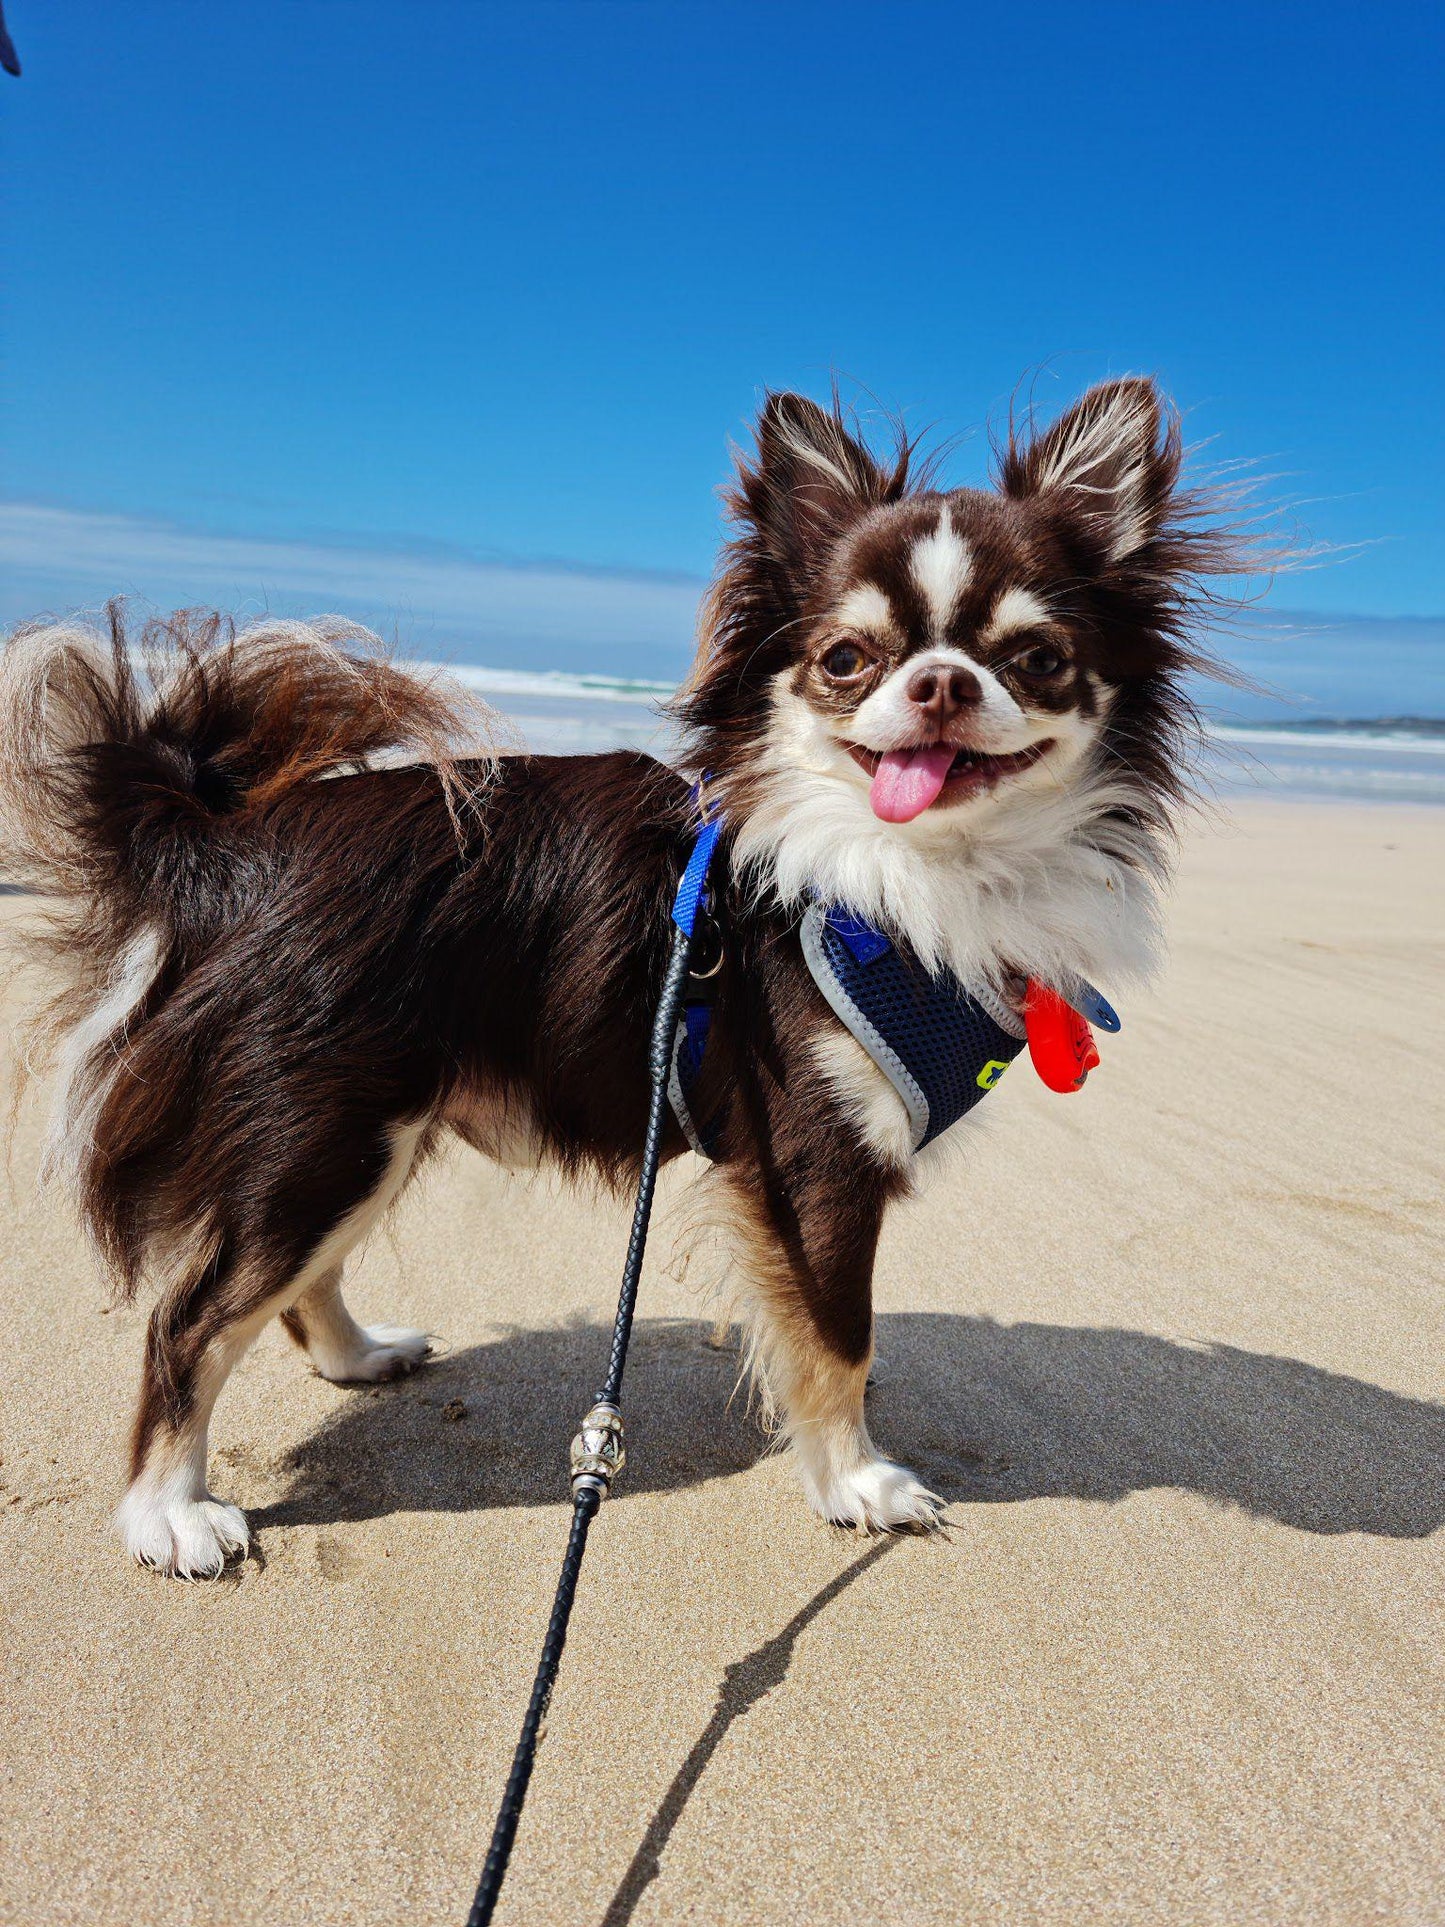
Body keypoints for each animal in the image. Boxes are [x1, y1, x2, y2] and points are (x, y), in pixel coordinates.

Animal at [0, 368, 1248, 1572]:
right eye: (846, 661)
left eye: (1035, 660)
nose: (940, 683)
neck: (906, 875)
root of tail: (232, 844)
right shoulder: (815, 1156)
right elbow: (838, 1335)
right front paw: (857, 1481)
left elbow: (818, 1328)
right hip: (328, 1125)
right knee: (192, 1316)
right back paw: (167, 1511)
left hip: (366, 1133)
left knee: (288, 1282)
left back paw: (359, 1355)